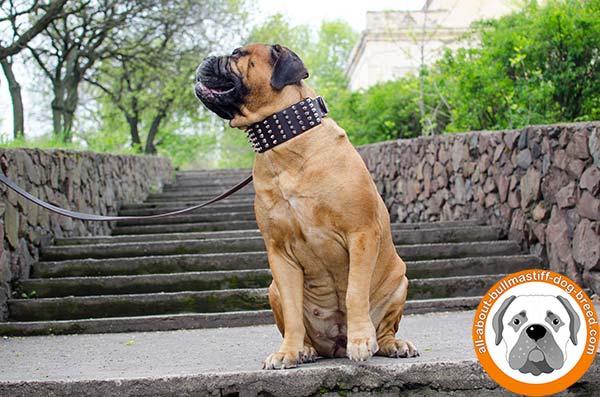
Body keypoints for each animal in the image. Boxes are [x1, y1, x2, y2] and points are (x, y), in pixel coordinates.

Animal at [196, 43, 418, 368]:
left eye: (237, 53)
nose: (205, 58)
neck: (283, 143)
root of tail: (334, 345)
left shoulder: (361, 234)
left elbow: (355, 293)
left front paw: (361, 341)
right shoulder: (279, 253)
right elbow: (292, 311)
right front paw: (288, 352)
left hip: (399, 281)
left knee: (387, 327)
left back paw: (393, 344)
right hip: (272, 289)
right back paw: (306, 349)